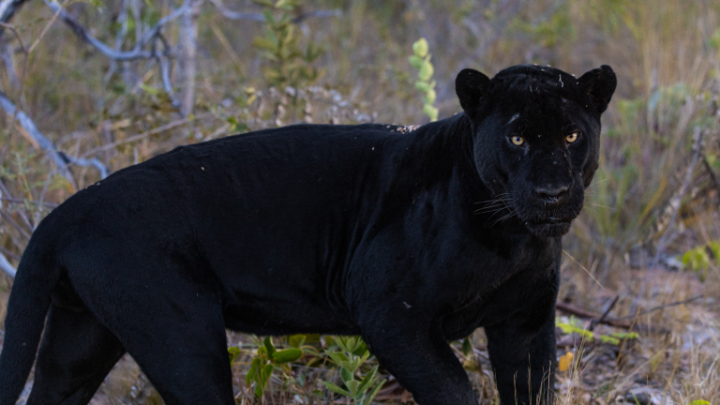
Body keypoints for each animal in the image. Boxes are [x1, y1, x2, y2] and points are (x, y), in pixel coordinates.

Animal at [1, 63, 612, 400]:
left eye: (571, 135)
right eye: (517, 138)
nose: (552, 191)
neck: (513, 239)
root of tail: (67, 210)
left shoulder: (525, 324)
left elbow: (531, 391)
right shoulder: (392, 313)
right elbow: (455, 391)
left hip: (80, 341)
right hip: (183, 337)